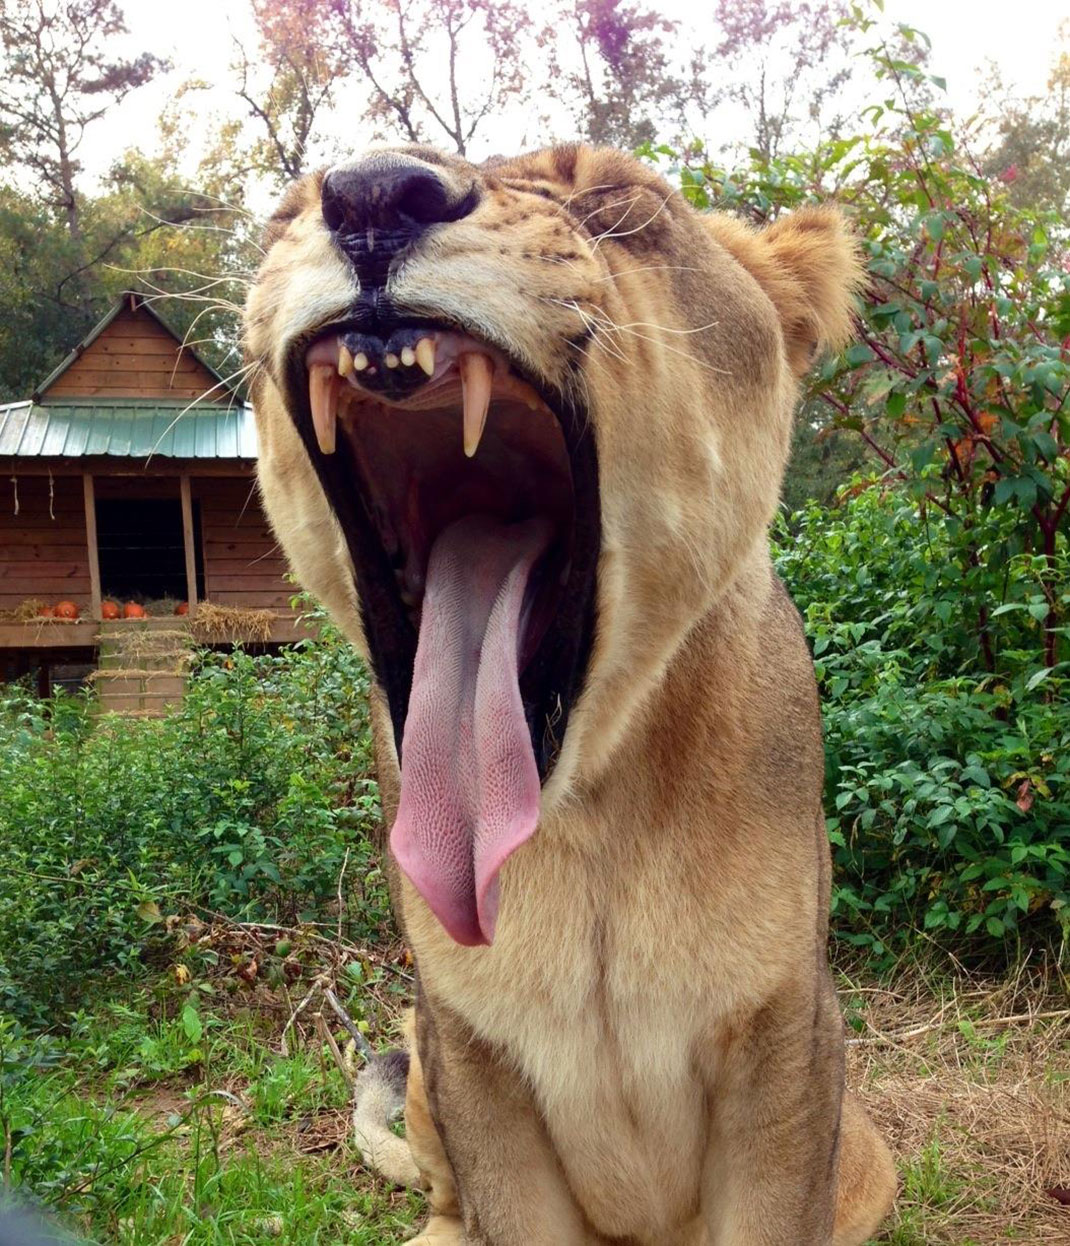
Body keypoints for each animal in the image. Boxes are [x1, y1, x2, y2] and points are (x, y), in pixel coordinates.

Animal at [244, 142, 897, 1245]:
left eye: (618, 197)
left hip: (866, 1153)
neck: (585, 819)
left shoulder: (785, 1049)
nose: (372, 192)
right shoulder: (471, 1054)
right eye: (286, 210)